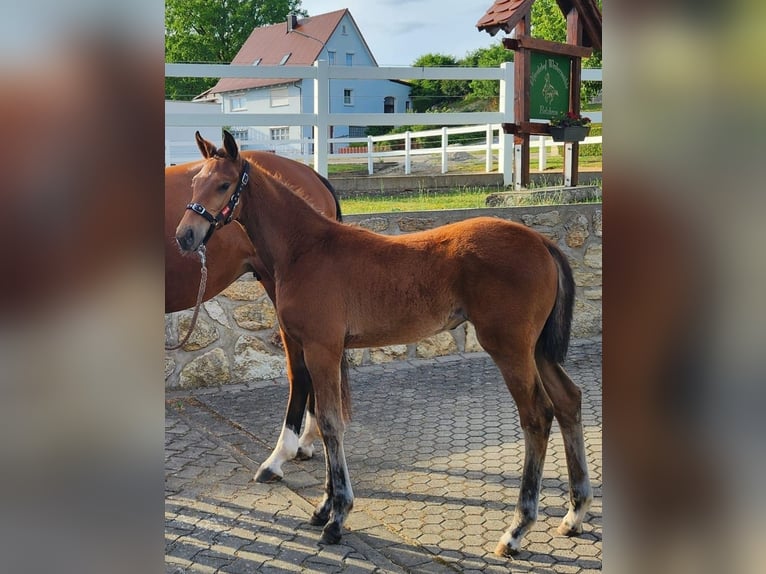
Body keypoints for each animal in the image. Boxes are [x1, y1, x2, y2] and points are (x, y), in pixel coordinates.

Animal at [166, 149, 347, 473]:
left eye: (224, 186)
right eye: (194, 182)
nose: (185, 236)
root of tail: (313, 174)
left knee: (300, 370)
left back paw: (285, 452)